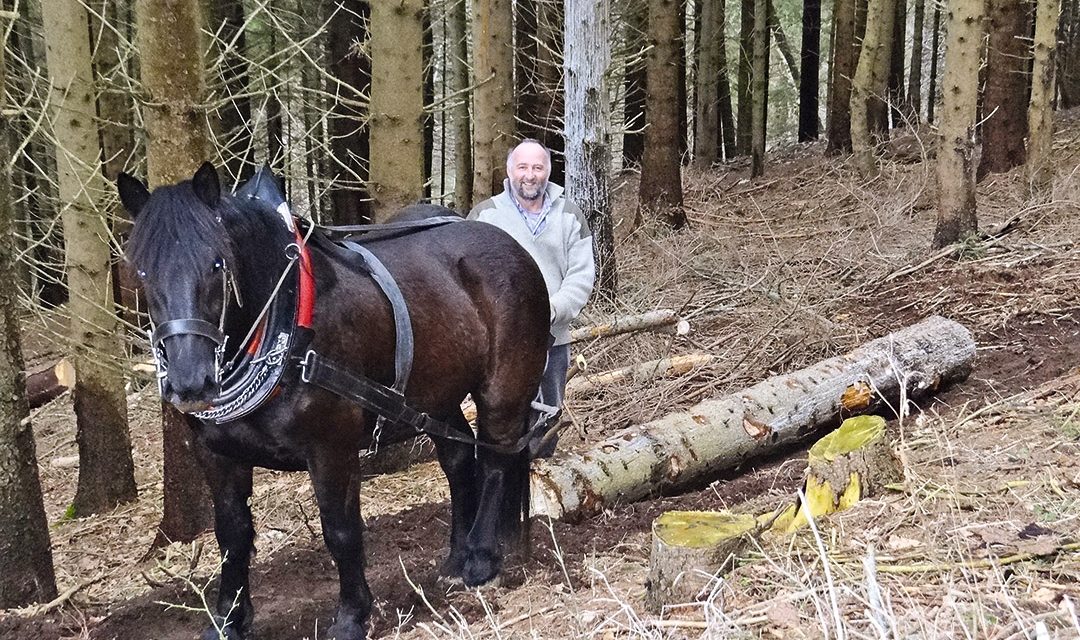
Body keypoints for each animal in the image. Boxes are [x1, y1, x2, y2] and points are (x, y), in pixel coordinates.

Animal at [118, 162, 548, 638]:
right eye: (142, 273)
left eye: (217, 264)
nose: (191, 382)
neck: (285, 321)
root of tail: (511, 244)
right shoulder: (217, 454)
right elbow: (231, 535)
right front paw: (229, 618)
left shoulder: (331, 448)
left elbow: (340, 530)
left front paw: (351, 616)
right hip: (434, 396)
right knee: (458, 459)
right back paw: (456, 559)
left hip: (504, 387)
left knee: (495, 460)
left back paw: (480, 560)